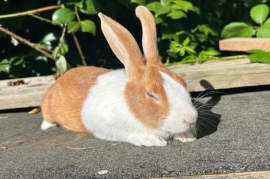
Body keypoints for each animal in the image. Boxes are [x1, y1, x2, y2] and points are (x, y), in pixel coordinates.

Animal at [40, 5, 196, 147]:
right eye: (151, 94)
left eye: (183, 82)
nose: (191, 118)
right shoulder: (103, 123)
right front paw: (152, 140)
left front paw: (187, 137)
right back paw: (47, 125)